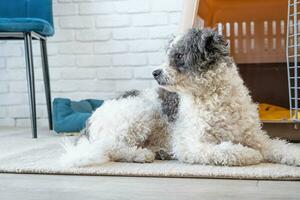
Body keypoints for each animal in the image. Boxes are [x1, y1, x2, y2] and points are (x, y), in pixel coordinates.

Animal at [61, 27, 300, 167]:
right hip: (139, 114)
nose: (155, 72)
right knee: (110, 147)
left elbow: (280, 146)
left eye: (178, 55)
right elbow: (227, 150)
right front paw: (250, 155)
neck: (213, 97)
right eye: (169, 55)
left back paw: (157, 152)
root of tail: (90, 121)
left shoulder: (258, 139)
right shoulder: (193, 145)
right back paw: (140, 155)